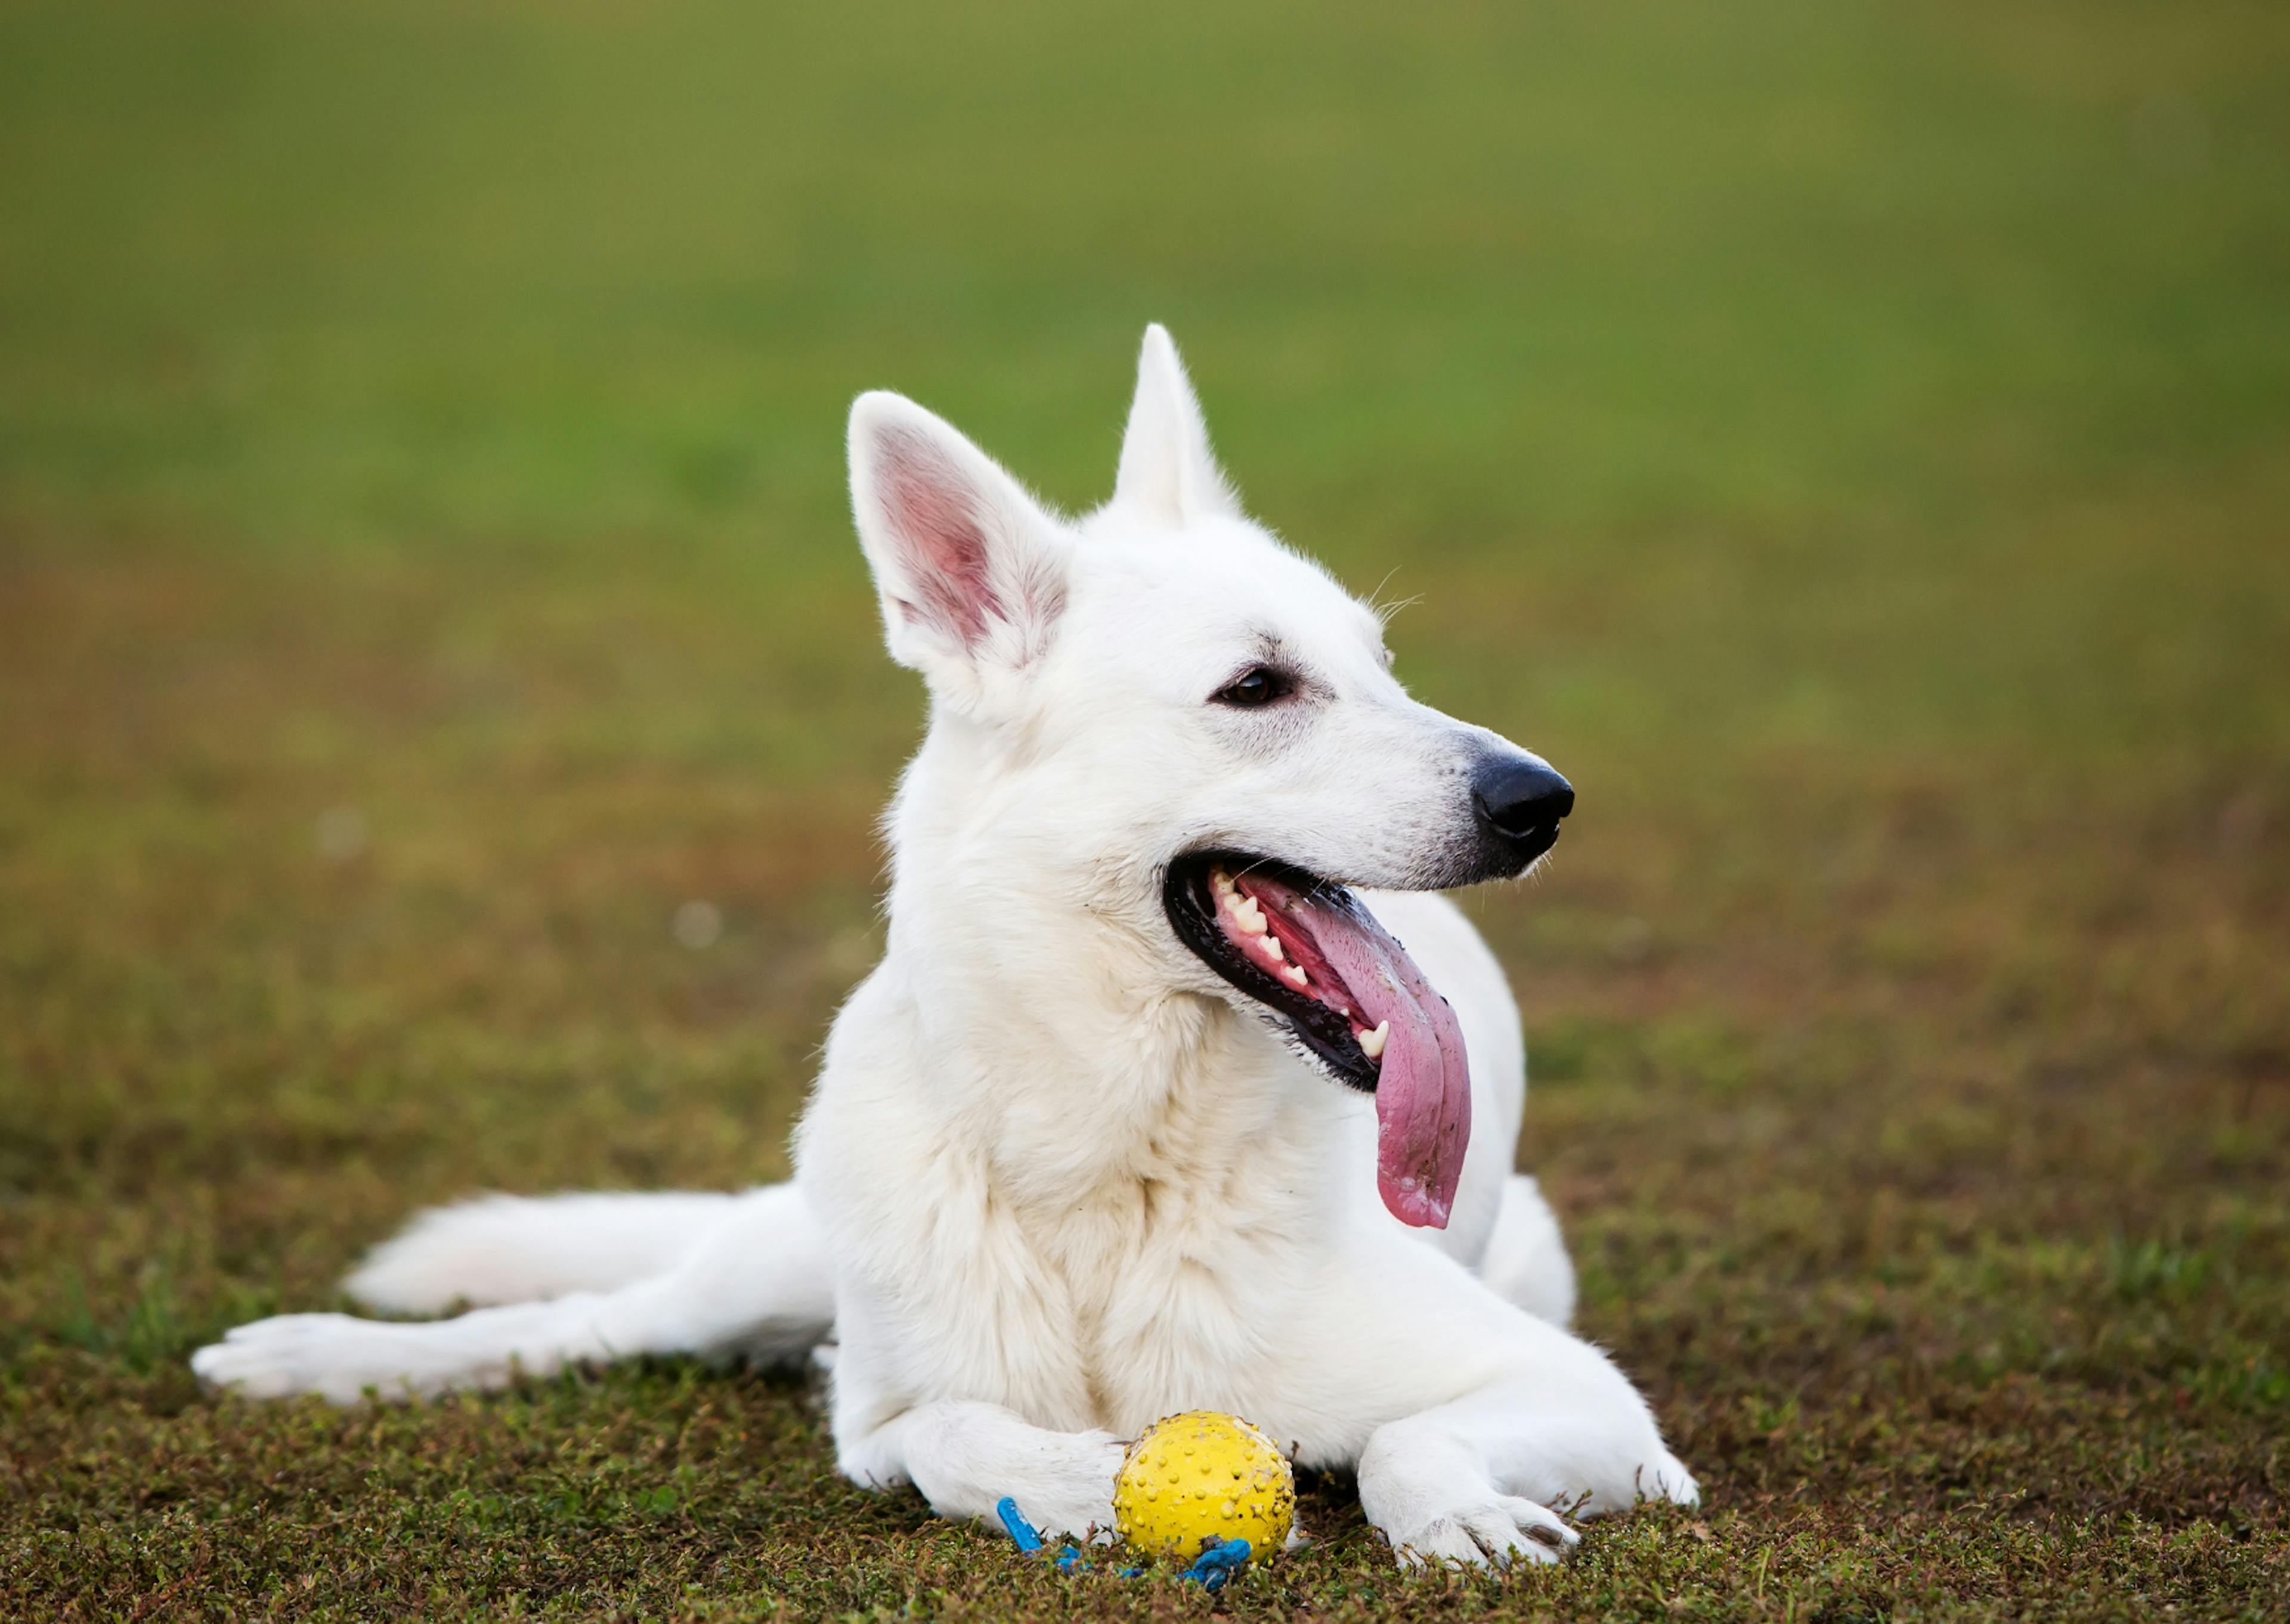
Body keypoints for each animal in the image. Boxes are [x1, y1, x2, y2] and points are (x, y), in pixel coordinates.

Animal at [201, 325, 1703, 1557]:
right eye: (1258, 687)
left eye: (1383, 667)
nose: (1543, 802)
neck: (1105, 1178)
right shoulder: (883, 1415)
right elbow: (945, 1433)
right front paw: (1075, 1480)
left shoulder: (1589, 1401)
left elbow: (1408, 1438)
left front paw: (1455, 1512)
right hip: (764, 1271)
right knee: (578, 1322)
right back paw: (314, 1358)